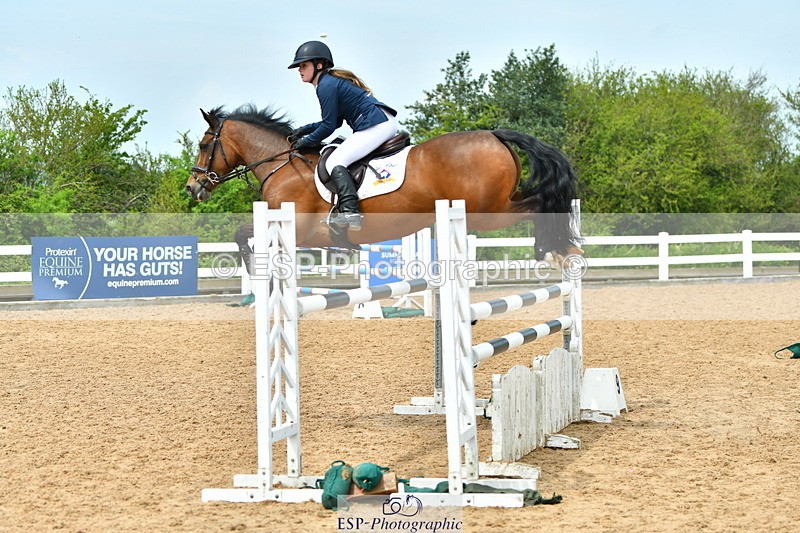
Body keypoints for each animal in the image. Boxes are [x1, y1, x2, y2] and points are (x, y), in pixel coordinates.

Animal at [185, 104, 582, 269]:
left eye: (204, 145)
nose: (193, 187)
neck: (282, 164)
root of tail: (495, 134)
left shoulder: (294, 226)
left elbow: (241, 232)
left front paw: (253, 268)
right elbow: (241, 232)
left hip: (488, 212)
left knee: (541, 204)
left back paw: (553, 249)